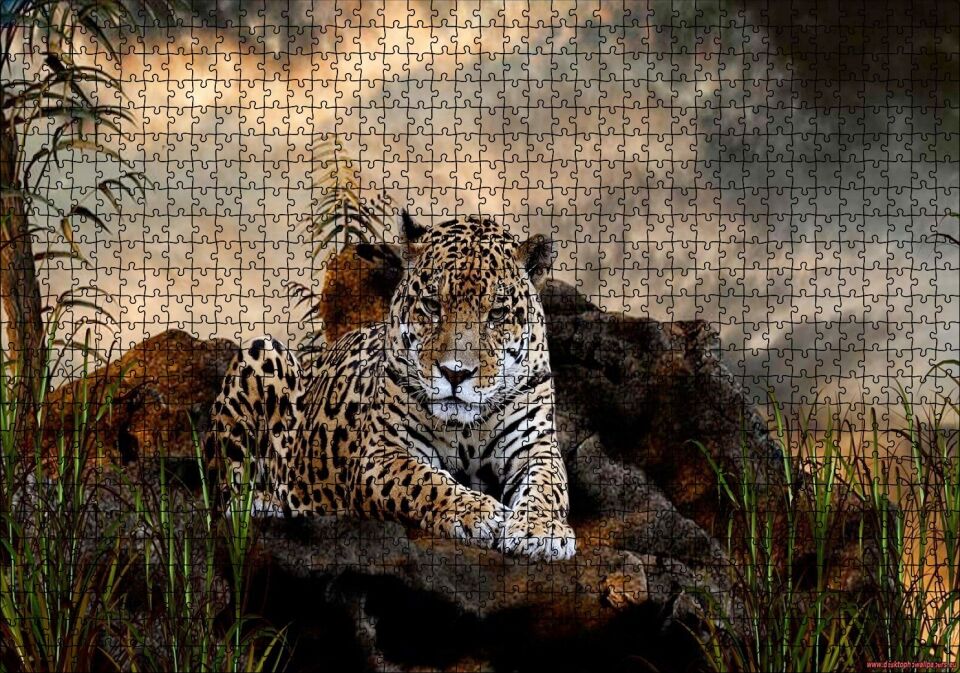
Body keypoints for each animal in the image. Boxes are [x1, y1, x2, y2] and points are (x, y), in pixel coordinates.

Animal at [204, 211, 575, 561]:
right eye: (432, 305)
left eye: (497, 314)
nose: (455, 373)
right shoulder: (383, 454)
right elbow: (427, 482)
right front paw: (478, 512)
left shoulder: (536, 447)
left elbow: (548, 487)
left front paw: (541, 531)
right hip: (261, 352)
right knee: (225, 493)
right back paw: (265, 502)